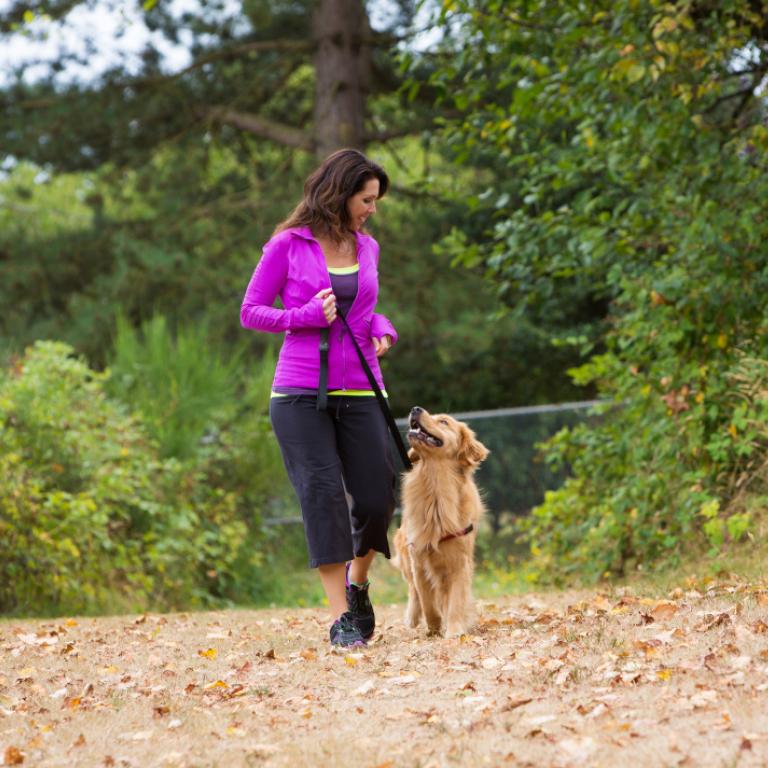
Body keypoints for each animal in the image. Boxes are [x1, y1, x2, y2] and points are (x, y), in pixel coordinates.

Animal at [392, 408, 488, 636]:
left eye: (443, 421)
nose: (415, 409)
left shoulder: (460, 562)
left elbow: (456, 600)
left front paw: (454, 630)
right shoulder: (418, 558)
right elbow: (427, 601)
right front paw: (434, 626)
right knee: (413, 592)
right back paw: (412, 618)